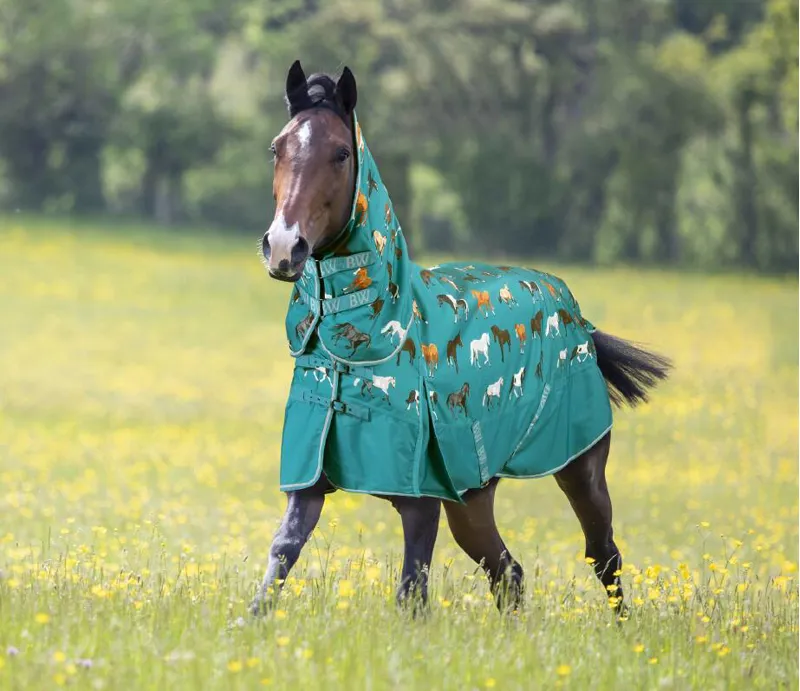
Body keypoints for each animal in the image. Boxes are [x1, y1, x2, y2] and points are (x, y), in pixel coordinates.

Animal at [255, 61, 671, 618]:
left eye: (341, 153)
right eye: (277, 147)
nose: (285, 248)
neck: (371, 342)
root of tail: (573, 311)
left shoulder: (421, 501)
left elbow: (411, 593)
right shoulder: (309, 481)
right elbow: (281, 554)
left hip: (580, 471)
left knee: (604, 555)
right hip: (473, 498)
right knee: (509, 574)